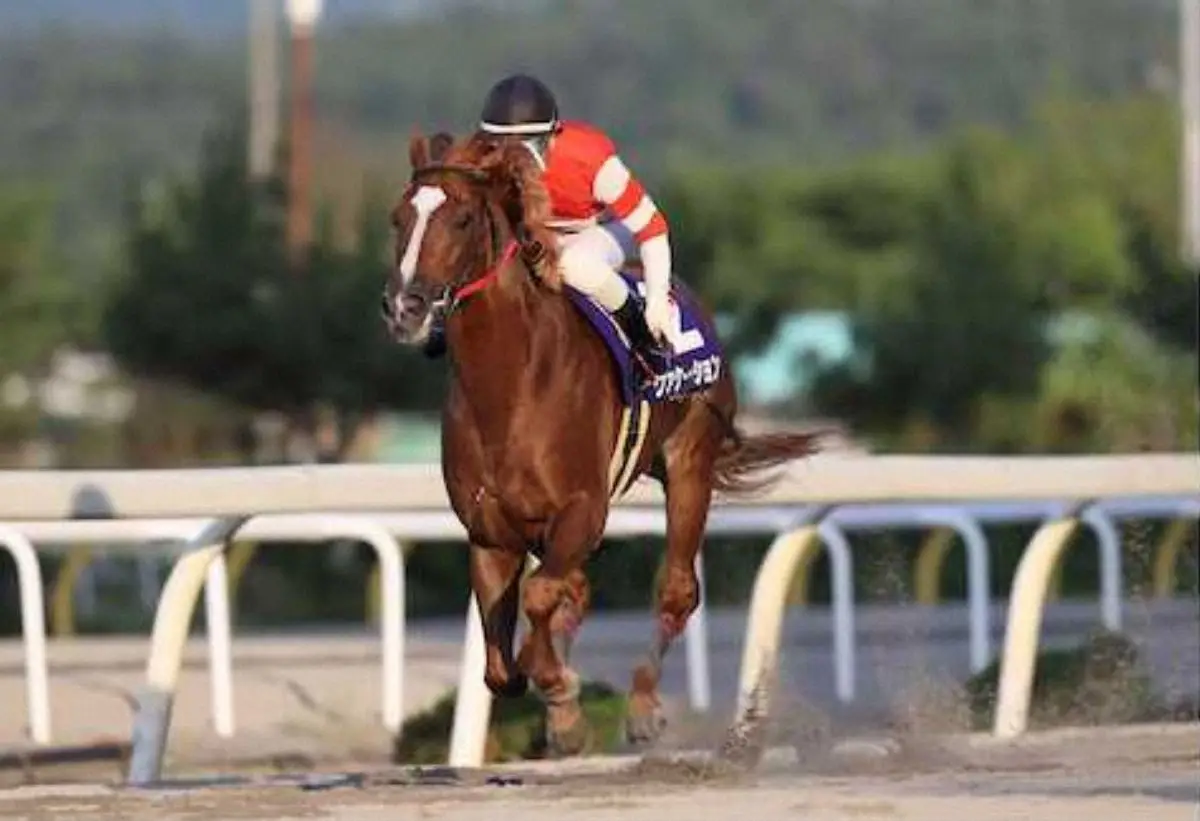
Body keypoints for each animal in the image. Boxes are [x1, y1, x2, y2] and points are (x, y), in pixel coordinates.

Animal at [381, 129, 819, 757]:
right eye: (398, 218)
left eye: (462, 218)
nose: (405, 308)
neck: (510, 386)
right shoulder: (491, 531)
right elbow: (500, 665)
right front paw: (559, 700)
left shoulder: (582, 510)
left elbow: (540, 601)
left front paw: (563, 698)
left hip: (690, 462)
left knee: (676, 590)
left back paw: (642, 708)